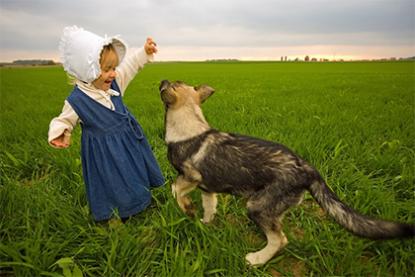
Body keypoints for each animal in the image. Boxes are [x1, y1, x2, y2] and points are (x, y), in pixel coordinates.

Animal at [158, 79, 414, 266]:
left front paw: (186, 209)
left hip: (257, 206)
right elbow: (209, 207)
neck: (188, 124)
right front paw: (203, 222)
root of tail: (308, 168)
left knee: (279, 240)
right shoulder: (208, 188)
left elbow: (175, 189)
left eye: (174, 83)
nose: (163, 79)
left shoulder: (191, 177)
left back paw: (257, 260)